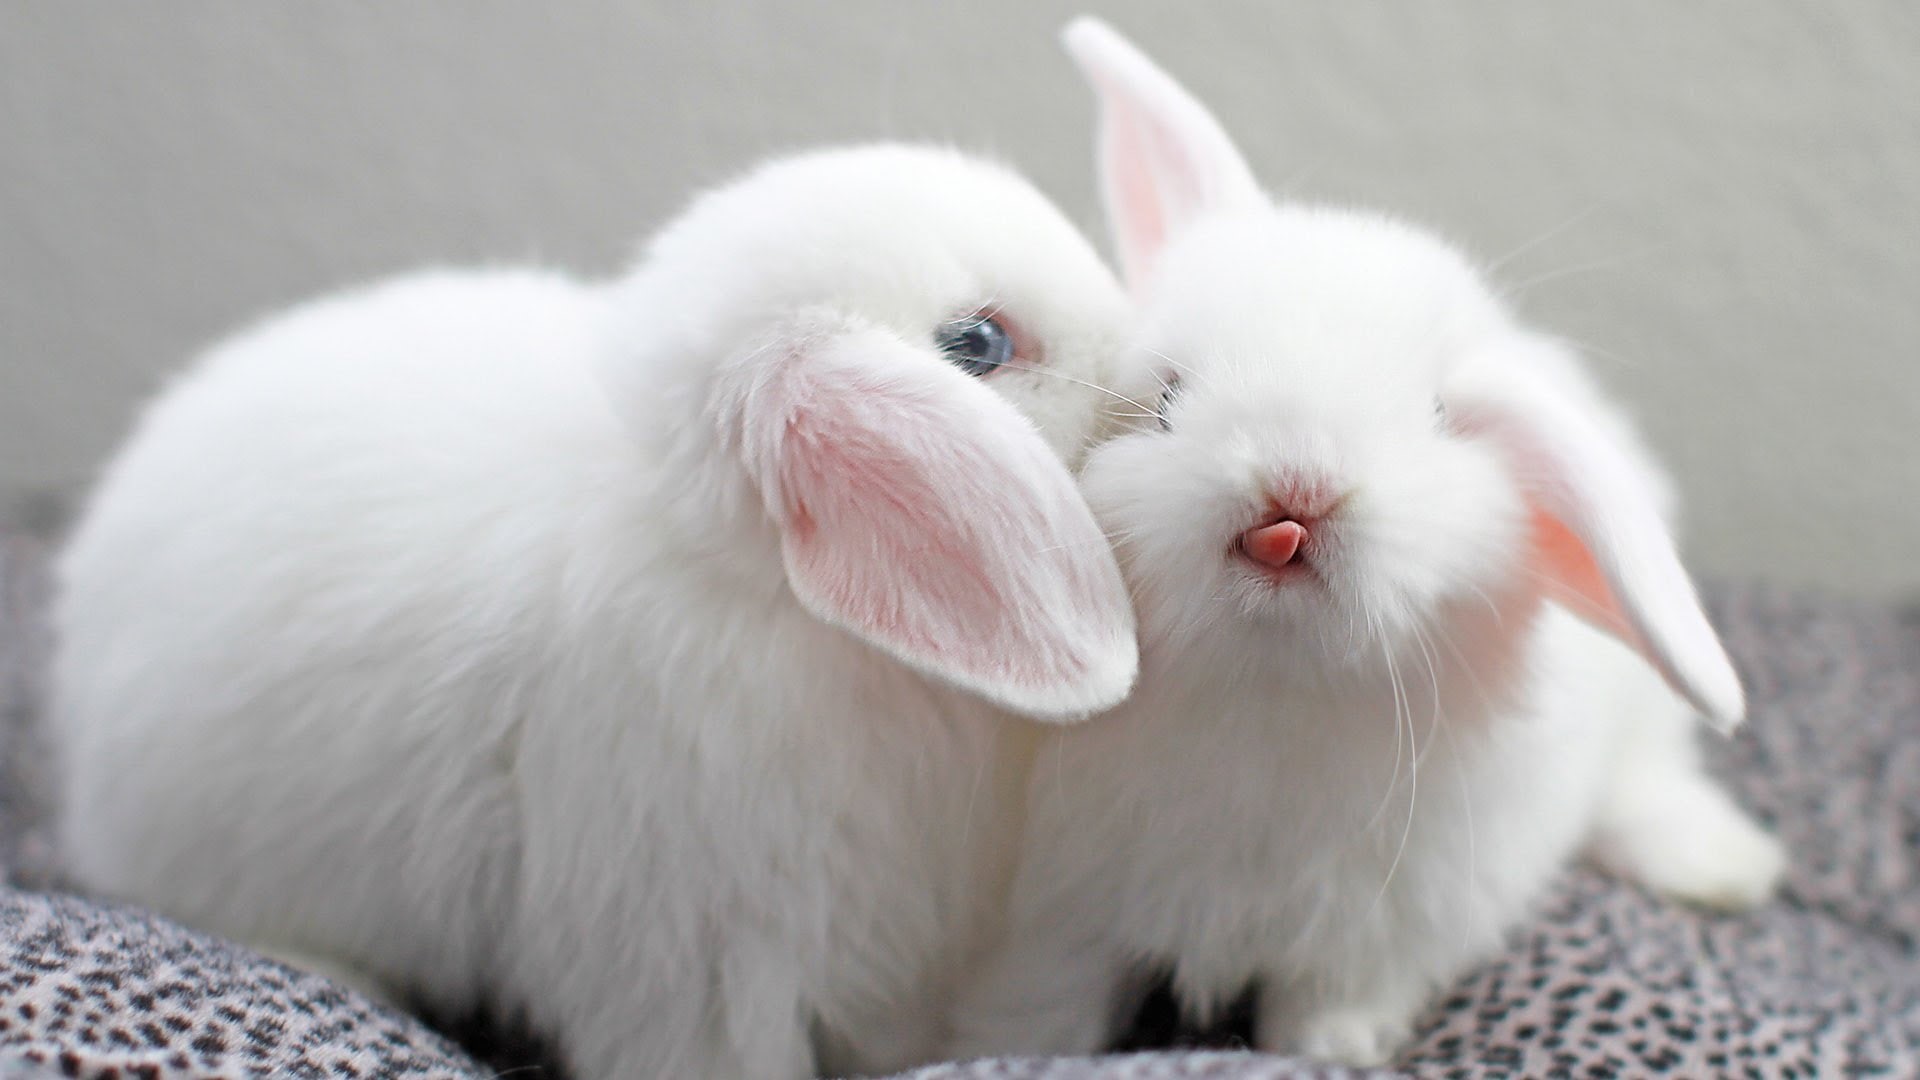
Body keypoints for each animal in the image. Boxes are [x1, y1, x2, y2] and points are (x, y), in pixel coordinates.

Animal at [947, 19, 1786, 1067]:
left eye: (1437, 420)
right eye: (1166, 398)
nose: (1296, 488)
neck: (1267, 696)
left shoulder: (1374, 938)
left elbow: (1326, 1010)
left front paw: (1341, 1053)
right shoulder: (1057, 920)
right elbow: (1047, 1010)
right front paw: (1000, 1048)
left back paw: (1726, 867)